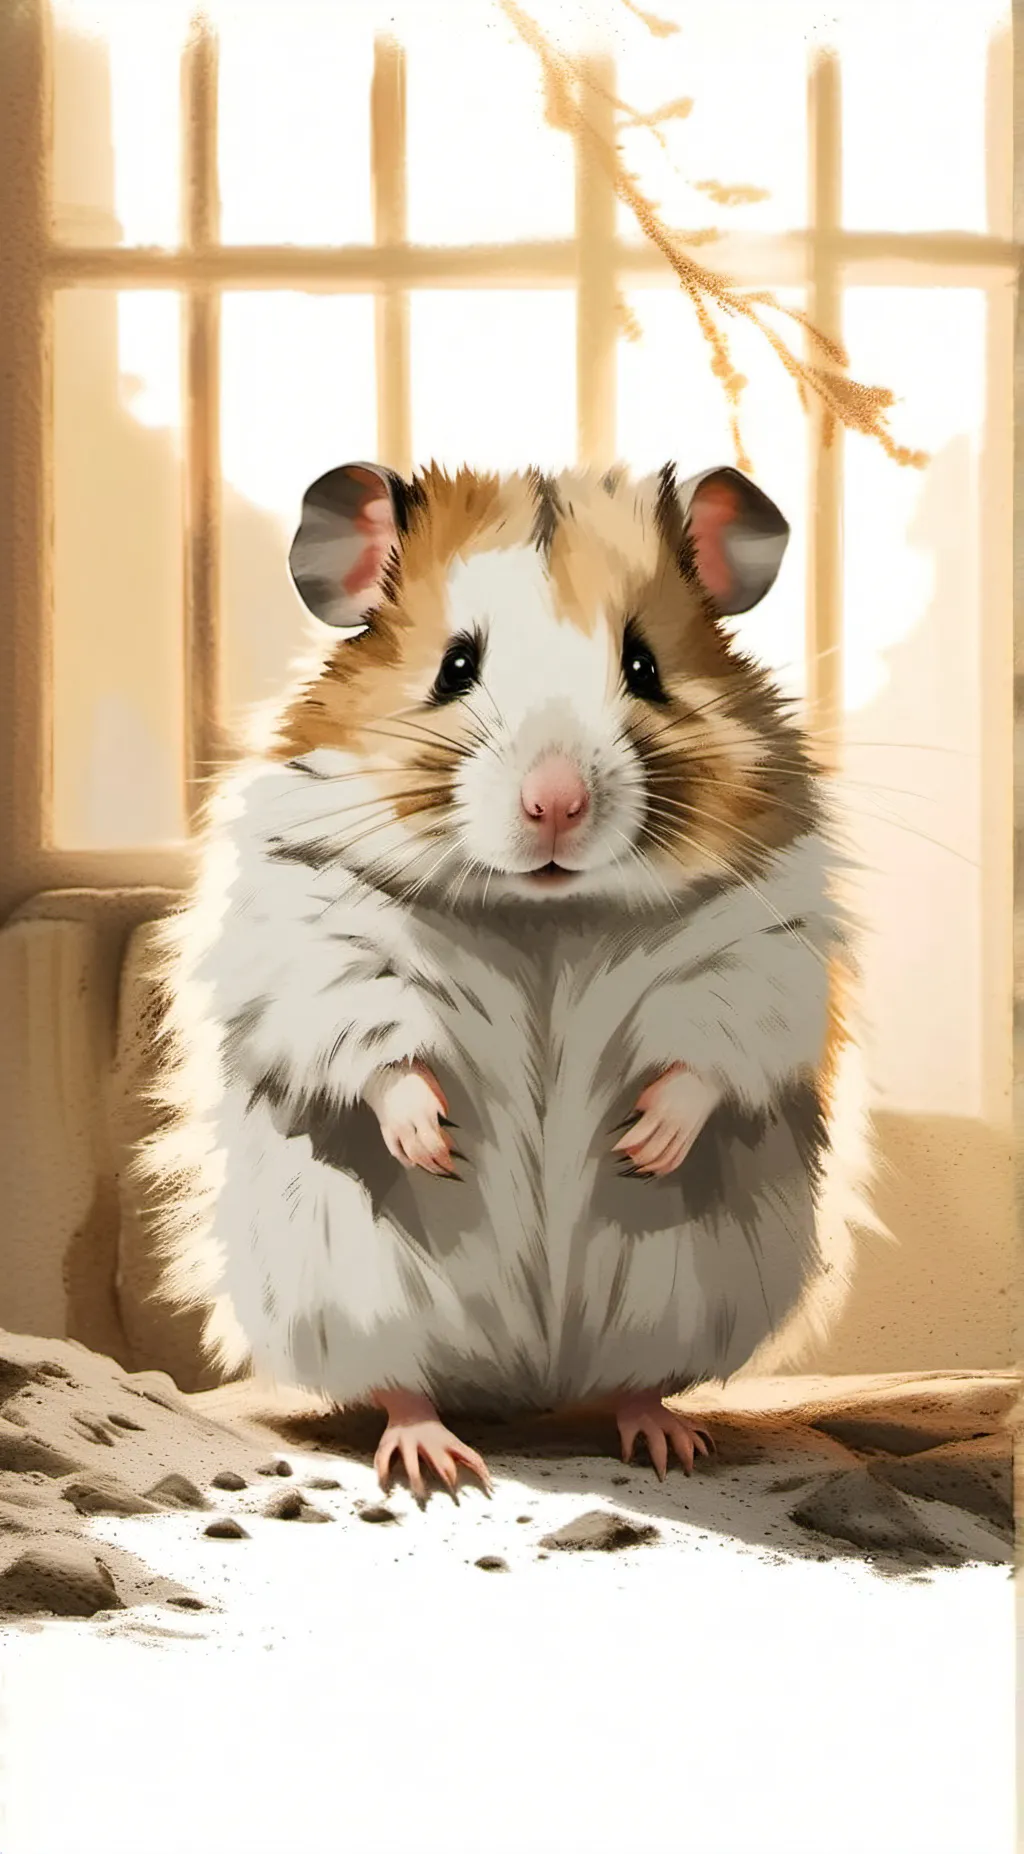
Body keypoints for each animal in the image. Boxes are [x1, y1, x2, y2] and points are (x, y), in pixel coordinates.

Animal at [140, 458, 853, 1498]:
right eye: (455, 667)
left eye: (645, 666)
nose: (555, 803)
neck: (543, 917)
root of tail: (530, 1389)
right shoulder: (315, 937)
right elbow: (373, 1044)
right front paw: (434, 1144)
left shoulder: (762, 948)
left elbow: (711, 1049)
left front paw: (645, 1144)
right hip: (349, 1292)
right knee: (400, 1382)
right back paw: (434, 1460)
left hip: (684, 1295)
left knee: (638, 1380)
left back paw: (667, 1439)